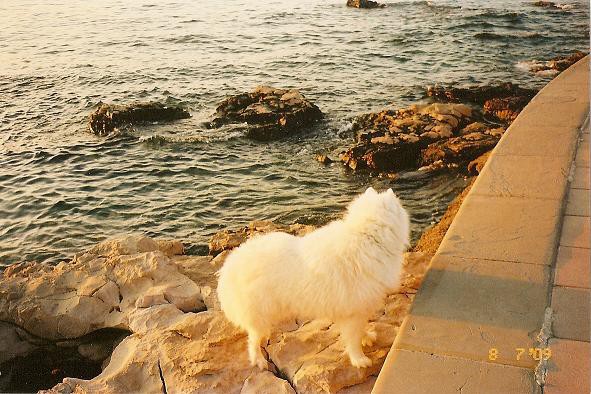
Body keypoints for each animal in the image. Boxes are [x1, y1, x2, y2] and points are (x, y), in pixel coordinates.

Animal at [219, 188, 412, 370]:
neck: (366, 236)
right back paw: (259, 360)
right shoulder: (353, 311)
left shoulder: (359, 307)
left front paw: (367, 337)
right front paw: (359, 359)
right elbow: (353, 338)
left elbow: (361, 328)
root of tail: (229, 266)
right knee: (253, 340)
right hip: (260, 313)